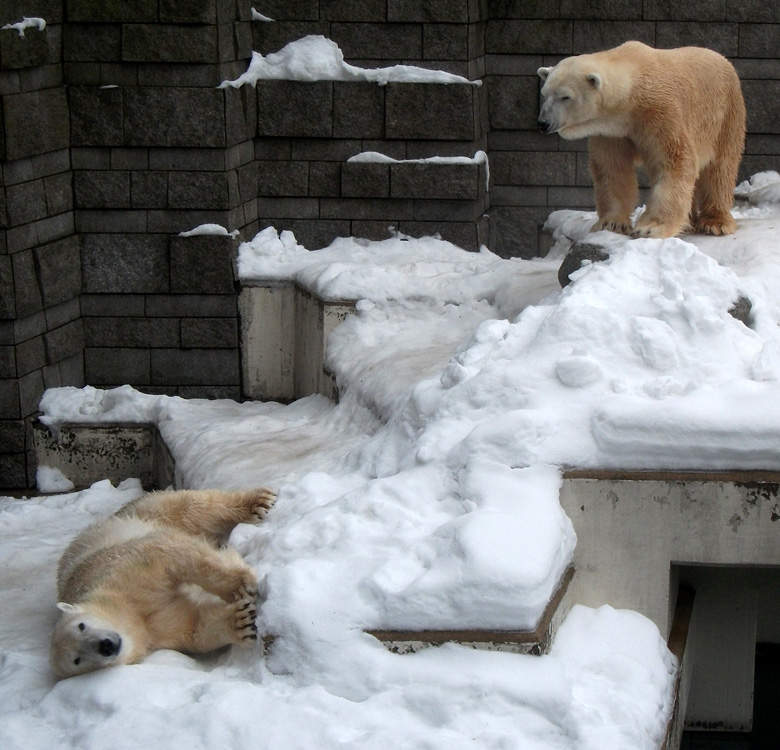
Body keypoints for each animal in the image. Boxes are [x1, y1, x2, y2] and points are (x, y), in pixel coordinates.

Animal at [48, 488, 274, 680]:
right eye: (77, 660)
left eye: (81, 625)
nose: (106, 646)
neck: (130, 611)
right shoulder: (158, 632)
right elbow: (196, 626)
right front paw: (242, 622)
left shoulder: (119, 570)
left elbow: (168, 554)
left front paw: (241, 584)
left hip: (141, 514)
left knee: (189, 507)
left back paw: (258, 502)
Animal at [536, 40, 744, 238]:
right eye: (544, 94)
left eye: (565, 97)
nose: (543, 123)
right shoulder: (612, 130)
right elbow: (612, 168)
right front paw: (611, 223)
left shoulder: (660, 112)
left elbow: (675, 161)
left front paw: (650, 228)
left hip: (725, 115)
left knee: (720, 168)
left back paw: (715, 223)